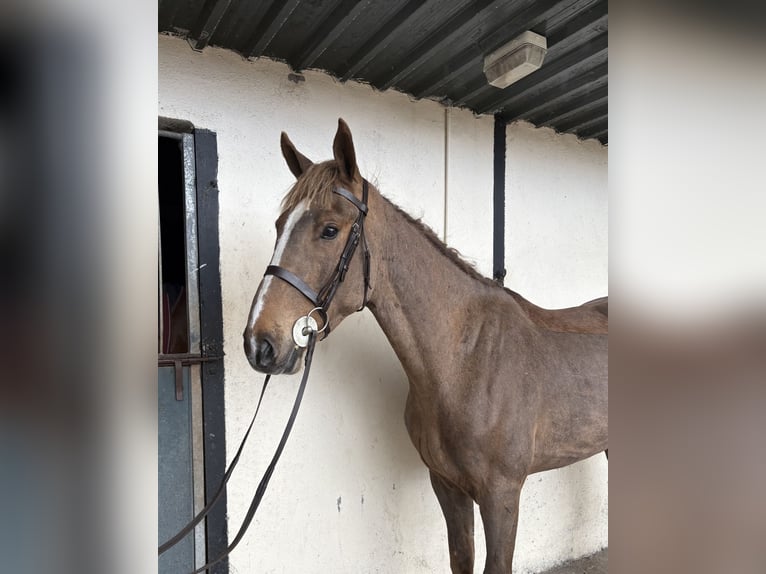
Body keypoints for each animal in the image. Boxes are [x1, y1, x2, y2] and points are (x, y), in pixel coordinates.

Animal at [243, 119, 608, 573]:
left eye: (329, 229)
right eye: (279, 226)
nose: (260, 344)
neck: (464, 362)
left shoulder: (502, 496)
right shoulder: (447, 486)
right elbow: (460, 559)